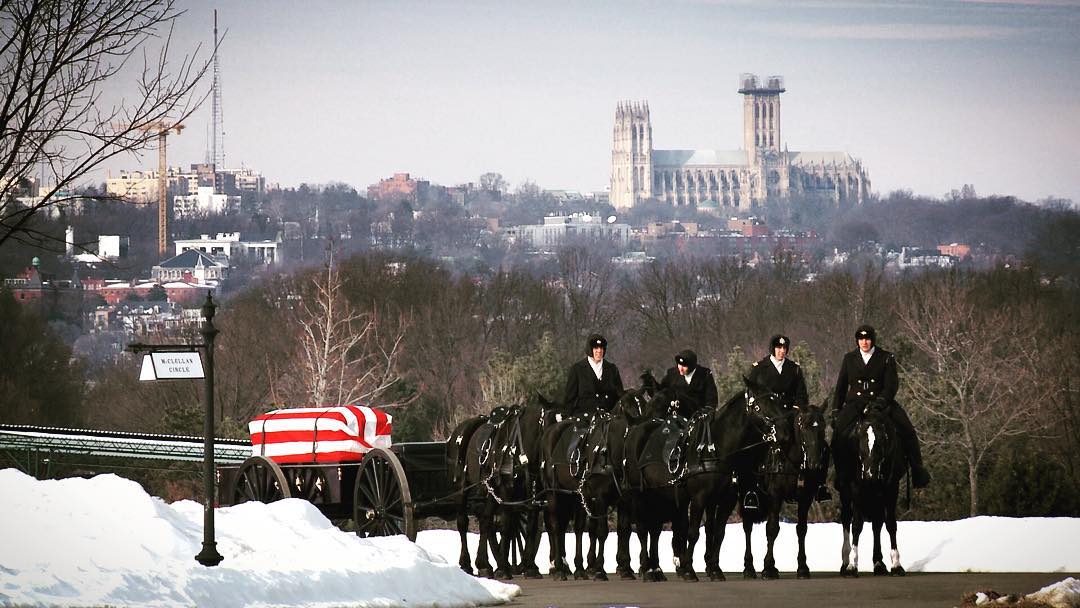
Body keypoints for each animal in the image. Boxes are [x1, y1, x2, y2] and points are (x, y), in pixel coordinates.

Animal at [678, 377, 790, 583]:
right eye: (760, 405)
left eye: (778, 402)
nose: (785, 433)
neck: (717, 451)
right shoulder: (698, 498)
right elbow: (693, 532)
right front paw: (689, 570)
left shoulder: (727, 499)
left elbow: (719, 533)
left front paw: (715, 569)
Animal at [738, 399, 829, 578]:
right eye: (804, 426)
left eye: (822, 427)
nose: (815, 463)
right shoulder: (775, 495)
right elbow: (772, 528)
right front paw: (768, 567)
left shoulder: (806, 498)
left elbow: (802, 529)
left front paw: (802, 567)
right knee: (747, 526)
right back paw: (749, 567)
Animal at [829, 397, 907, 578]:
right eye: (860, 438)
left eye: (883, 438)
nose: (870, 475)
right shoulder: (856, 489)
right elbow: (857, 524)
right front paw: (852, 565)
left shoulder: (891, 488)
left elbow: (890, 524)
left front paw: (896, 564)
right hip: (846, 492)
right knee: (846, 519)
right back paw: (845, 562)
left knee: (877, 524)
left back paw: (878, 563)